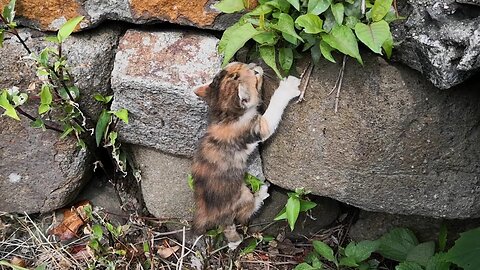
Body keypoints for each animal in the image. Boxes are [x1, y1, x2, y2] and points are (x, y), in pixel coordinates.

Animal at [191, 62, 300, 250]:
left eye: (239, 64)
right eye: (256, 74)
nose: (256, 64)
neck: (226, 116)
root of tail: (208, 212)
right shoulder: (259, 127)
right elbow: (274, 106)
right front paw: (288, 87)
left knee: (227, 227)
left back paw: (234, 243)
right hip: (242, 195)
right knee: (245, 212)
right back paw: (263, 193)